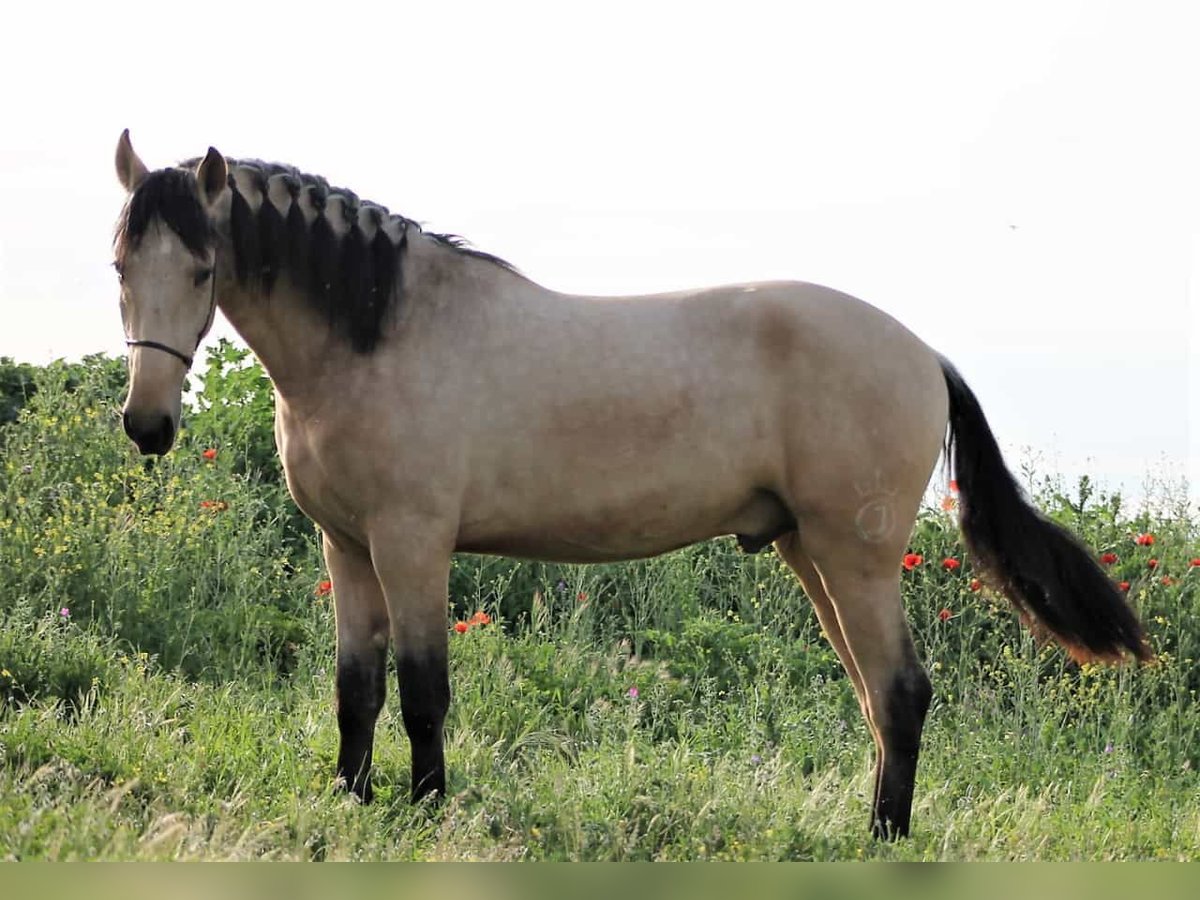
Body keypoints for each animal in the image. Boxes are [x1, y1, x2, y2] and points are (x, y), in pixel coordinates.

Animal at [112, 130, 1152, 844]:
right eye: (120, 262)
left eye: (203, 266)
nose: (147, 425)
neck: (384, 334)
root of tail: (924, 354)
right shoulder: (349, 546)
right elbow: (355, 690)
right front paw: (350, 798)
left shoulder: (412, 544)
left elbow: (421, 692)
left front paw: (429, 806)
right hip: (811, 553)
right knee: (877, 698)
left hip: (855, 559)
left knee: (899, 691)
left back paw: (885, 842)